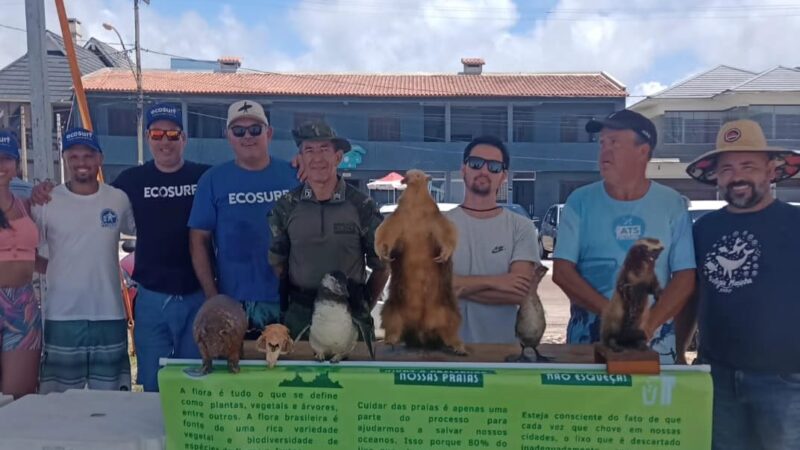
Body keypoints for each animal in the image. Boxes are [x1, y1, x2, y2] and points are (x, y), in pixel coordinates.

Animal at [376, 169, 468, 356]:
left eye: (418, 175)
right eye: (406, 173)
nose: (404, 179)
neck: (416, 205)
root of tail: (421, 331)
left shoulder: (435, 218)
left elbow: (447, 233)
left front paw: (443, 255)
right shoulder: (398, 218)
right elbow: (385, 232)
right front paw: (384, 254)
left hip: (446, 308)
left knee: (450, 327)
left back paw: (457, 345)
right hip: (394, 306)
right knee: (392, 322)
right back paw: (390, 340)